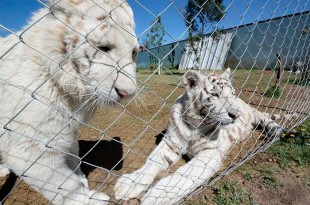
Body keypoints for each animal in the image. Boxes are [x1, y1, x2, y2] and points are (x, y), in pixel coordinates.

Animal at [0, 0, 138, 204]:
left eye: (134, 53)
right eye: (103, 48)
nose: (128, 93)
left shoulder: (67, 129)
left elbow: (74, 156)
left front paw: (81, 178)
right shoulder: (29, 148)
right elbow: (65, 186)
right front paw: (89, 199)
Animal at [114, 69, 288, 205]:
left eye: (232, 94)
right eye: (215, 95)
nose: (236, 115)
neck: (194, 124)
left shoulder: (209, 153)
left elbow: (183, 175)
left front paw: (156, 196)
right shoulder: (171, 142)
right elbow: (151, 162)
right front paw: (127, 184)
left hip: (254, 114)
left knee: (266, 119)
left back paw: (277, 131)